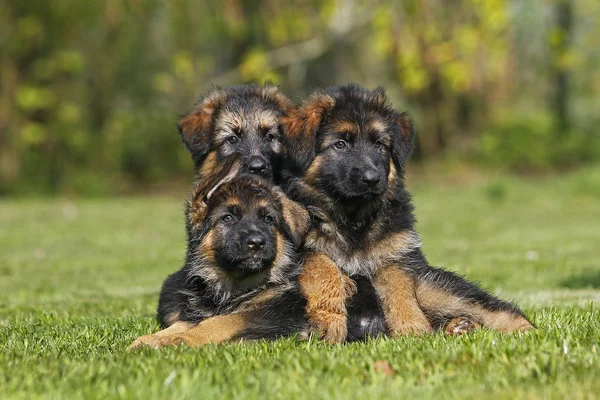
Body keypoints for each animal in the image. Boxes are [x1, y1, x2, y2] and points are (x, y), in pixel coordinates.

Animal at [127, 173, 310, 348]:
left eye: (268, 219)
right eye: (228, 218)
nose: (257, 243)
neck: (232, 285)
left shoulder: (279, 314)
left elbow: (222, 320)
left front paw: (183, 338)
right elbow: (183, 323)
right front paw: (153, 339)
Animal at [282, 83, 536, 342]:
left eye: (379, 144)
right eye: (340, 144)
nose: (372, 179)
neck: (353, 219)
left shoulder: (395, 255)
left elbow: (399, 291)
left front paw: (410, 328)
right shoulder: (303, 249)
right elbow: (323, 267)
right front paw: (329, 319)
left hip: (432, 287)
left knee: (494, 307)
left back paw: (524, 332)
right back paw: (458, 326)